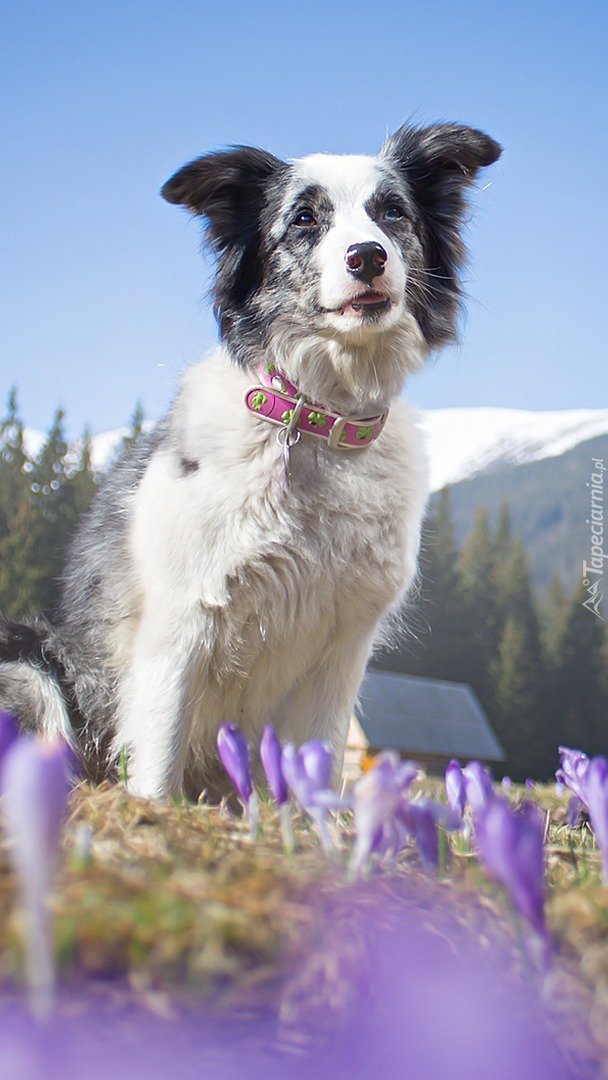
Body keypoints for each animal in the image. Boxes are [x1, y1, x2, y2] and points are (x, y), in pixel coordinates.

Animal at [0, 122, 501, 799]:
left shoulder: (343, 646)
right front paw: (155, 811)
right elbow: (156, 762)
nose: (367, 256)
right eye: (305, 218)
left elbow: (322, 760)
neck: (319, 419)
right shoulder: (179, 624)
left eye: (392, 212)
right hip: (28, 657)